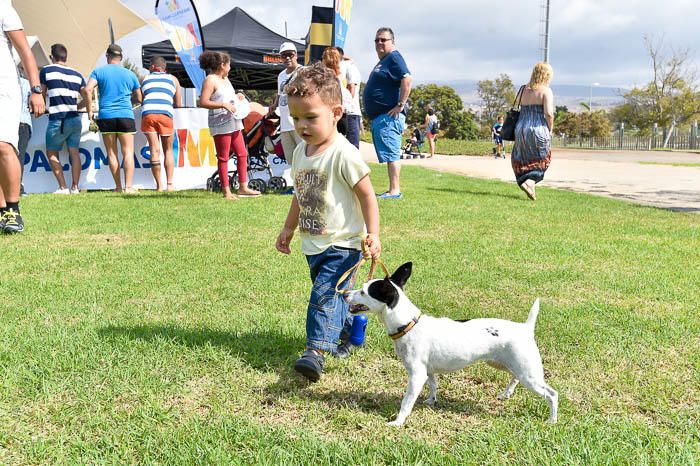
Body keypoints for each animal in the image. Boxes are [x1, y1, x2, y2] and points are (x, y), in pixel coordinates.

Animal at [344, 262, 556, 426]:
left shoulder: (416, 375)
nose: (345, 293)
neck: (409, 324)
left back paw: (552, 420)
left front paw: (398, 421)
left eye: (363, 291)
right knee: (515, 378)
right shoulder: (428, 371)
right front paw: (431, 401)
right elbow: (433, 385)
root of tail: (525, 328)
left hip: (527, 373)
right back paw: (506, 394)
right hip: (506, 364)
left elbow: (406, 402)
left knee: (552, 394)